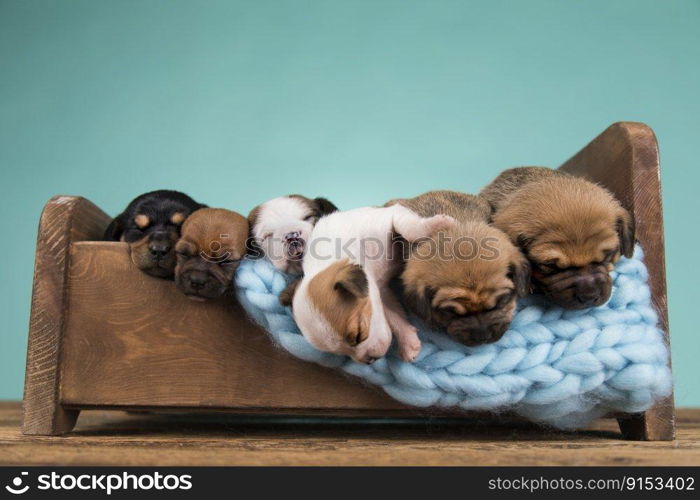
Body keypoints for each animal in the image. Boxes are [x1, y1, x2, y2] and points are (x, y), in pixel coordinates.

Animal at [278, 205, 454, 366]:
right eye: (340, 353)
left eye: (358, 335)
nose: (370, 360)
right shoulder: (380, 292)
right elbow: (394, 317)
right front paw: (408, 342)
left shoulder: (392, 214)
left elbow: (410, 229)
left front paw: (439, 224)